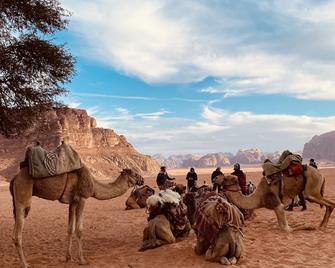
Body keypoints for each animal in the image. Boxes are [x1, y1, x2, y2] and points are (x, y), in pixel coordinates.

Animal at [10, 165, 144, 268]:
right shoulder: (82, 198)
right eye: (134, 173)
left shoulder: (73, 202)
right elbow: (79, 230)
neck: (94, 186)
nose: (142, 180)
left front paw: (69, 258)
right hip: (23, 195)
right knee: (18, 232)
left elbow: (70, 229)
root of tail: (14, 178)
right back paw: (25, 264)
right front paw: (82, 260)